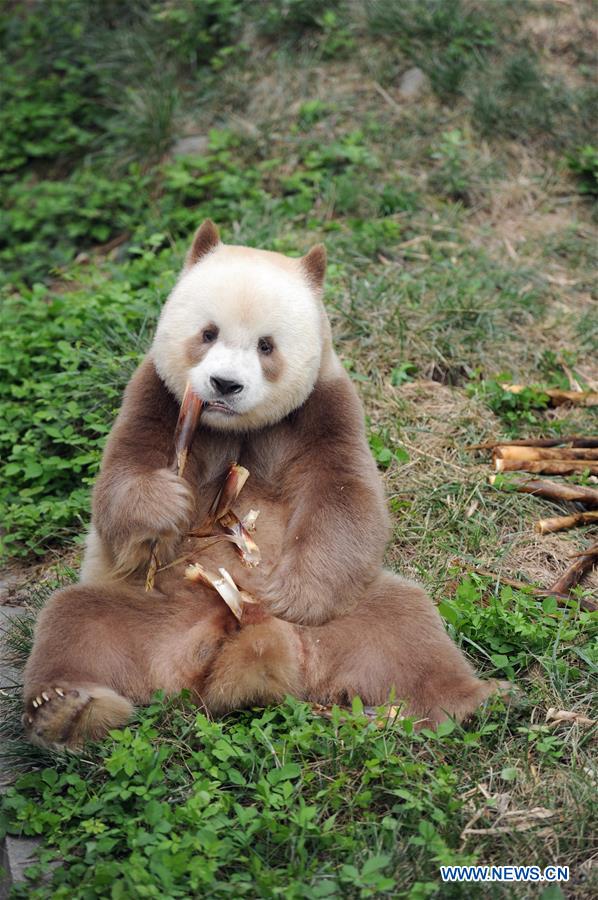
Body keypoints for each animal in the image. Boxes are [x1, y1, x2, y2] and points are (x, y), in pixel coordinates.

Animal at [23, 221, 504, 748]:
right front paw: (164, 506)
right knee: (75, 622)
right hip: (149, 614)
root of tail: (247, 647)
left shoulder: (323, 407)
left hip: (344, 620)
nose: (224, 384)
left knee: (406, 624)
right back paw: (66, 708)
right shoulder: (158, 396)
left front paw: (293, 593)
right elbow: (120, 481)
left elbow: (344, 498)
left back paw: (470, 701)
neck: (236, 427)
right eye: (208, 333)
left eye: (266, 345)